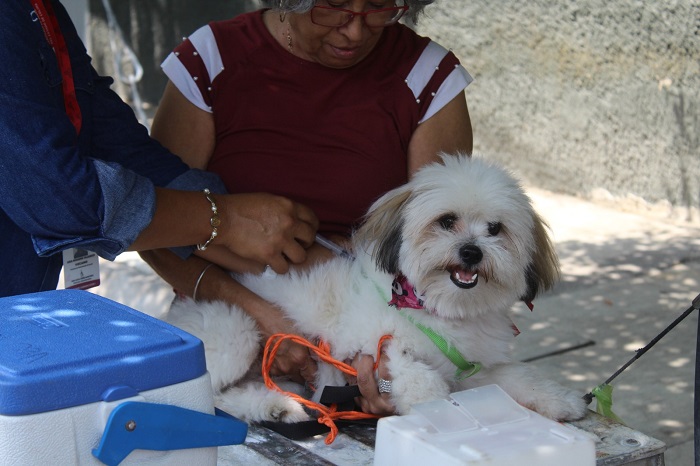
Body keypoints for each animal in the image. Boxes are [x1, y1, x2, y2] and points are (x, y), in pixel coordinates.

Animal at [167, 155, 588, 424]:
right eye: (446, 221)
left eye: (496, 229)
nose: (471, 252)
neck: (439, 308)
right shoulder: (376, 351)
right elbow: (424, 383)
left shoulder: (473, 366)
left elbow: (518, 376)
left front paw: (560, 399)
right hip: (236, 332)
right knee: (209, 395)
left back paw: (276, 406)